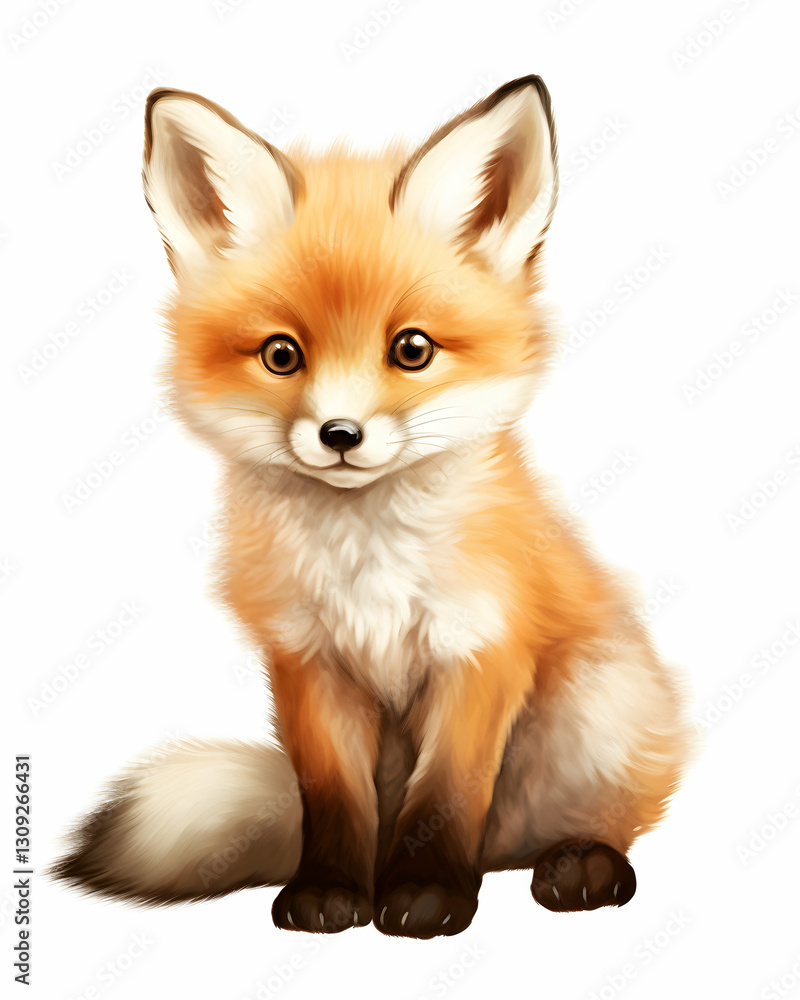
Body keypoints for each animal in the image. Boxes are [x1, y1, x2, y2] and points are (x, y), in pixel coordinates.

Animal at [52, 76, 694, 939]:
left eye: (412, 349)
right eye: (281, 354)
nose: (340, 435)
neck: (368, 564)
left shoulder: (480, 648)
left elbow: (449, 793)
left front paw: (427, 895)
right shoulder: (306, 661)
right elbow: (332, 799)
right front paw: (330, 892)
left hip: (602, 714)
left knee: (582, 822)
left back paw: (581, 863)